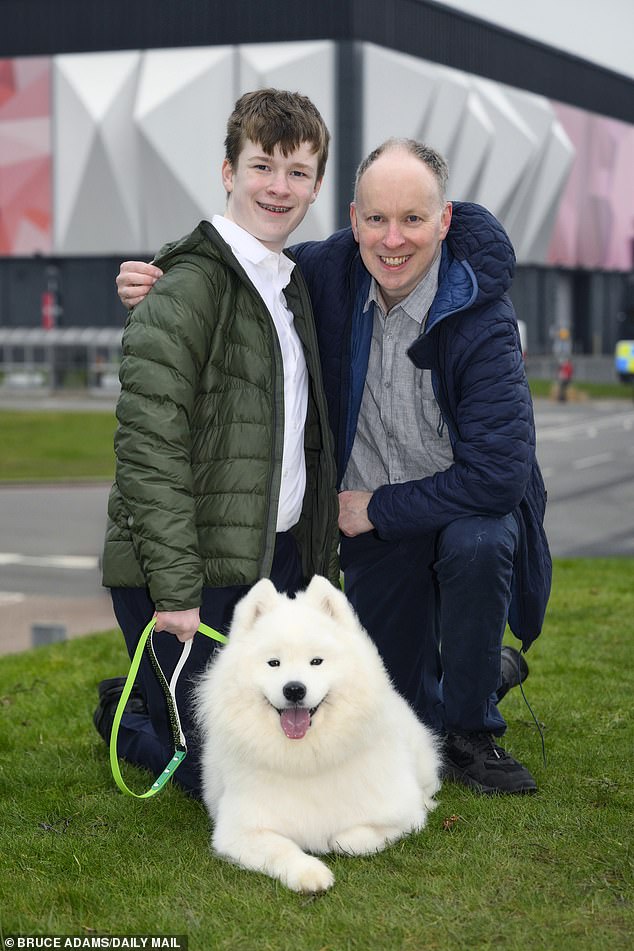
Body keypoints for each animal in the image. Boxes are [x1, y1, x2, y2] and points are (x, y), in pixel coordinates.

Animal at [193, 572, 440, 892]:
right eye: (274, 663)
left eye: (316, 661)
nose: (294, 689)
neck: (307, 758)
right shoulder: (240, 830)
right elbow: (282, 849)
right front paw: (311, 874)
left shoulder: (401, 815)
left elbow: (345, 839)